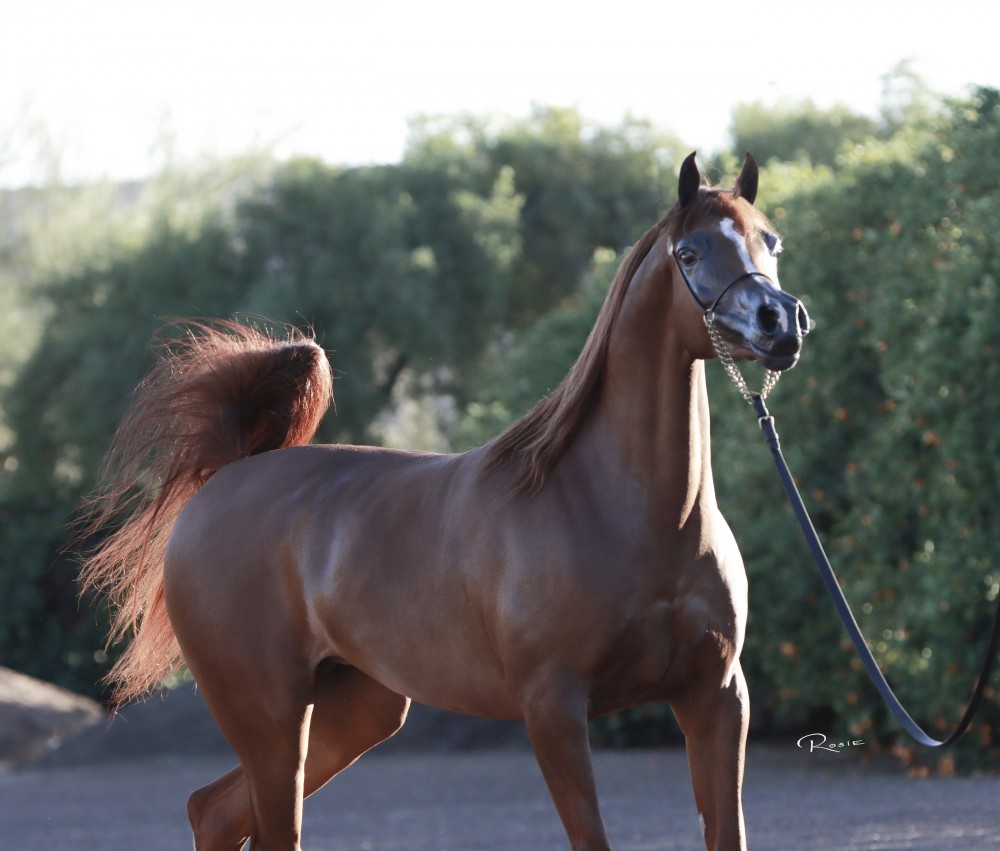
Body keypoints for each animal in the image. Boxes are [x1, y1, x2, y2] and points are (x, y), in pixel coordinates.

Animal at [78, 152, 809, 851]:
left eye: (770, 239)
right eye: (690, 253)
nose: (780, 322)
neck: (626, 512)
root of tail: (231, 474)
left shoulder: (717, 697)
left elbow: (727, 833)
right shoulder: (553, 707)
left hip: (354, 708)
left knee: (215, 812)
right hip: (269, 715)